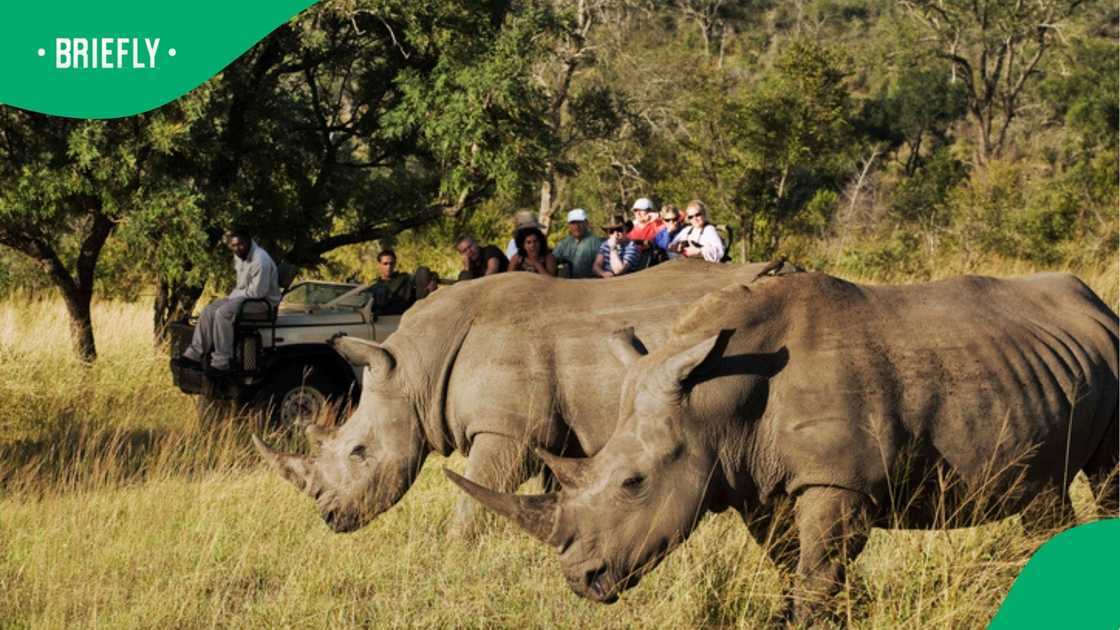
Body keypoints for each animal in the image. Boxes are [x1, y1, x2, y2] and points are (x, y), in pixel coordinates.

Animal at [253, 259, 798, 536]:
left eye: (359, 452)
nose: (331, 519)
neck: (416, 368)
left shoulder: (507, 429)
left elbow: (475, 497)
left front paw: (458, 551)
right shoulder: (551, 430)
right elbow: (550, 492)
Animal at [449, 271, 1119, 621]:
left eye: (633, 483)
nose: (580, 580)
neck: (713, 404)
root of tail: (1095, 302)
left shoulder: (837, 481)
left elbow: (817, 571)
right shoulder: (752, 476)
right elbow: (793, 562)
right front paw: (841, 614)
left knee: (1106, 476)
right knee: (1043, 499)